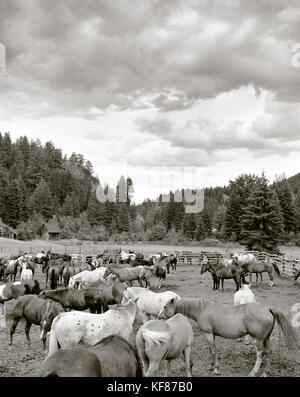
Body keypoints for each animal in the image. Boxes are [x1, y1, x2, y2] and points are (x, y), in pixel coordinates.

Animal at [159, 296, 300, 376]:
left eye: (165, 306)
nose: (159, 317)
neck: (202, 309)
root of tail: (267, 309)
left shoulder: (208, 334)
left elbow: (213, 350)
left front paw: (216, 368)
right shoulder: (211, 335)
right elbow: (211, 350)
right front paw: (211, 366)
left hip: (258, 340)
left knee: (260, 354)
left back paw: (253, 372)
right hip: (266, 339)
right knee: (269, 353)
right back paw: (265, 373)